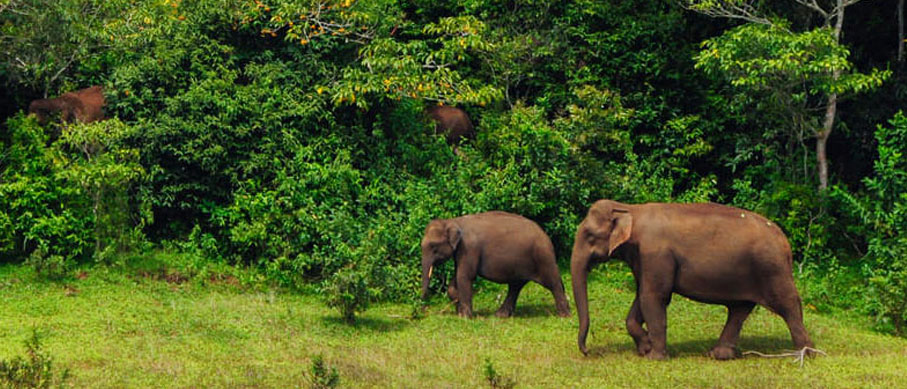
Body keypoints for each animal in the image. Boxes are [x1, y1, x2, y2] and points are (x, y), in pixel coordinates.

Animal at [422, 211, 572, 316]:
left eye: (434, 247)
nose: (424, 308)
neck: (453, 221)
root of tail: (546, 237)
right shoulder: (460, 252)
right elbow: (457, 276)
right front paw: (459, 306)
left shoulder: (469, 248)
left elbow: (465, 276)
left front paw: (465, 316)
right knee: (515, 286)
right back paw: (500, 315)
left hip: (543, 258)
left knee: (553, 283)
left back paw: (564, 315)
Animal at [572, 199, 812, 360]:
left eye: (590, 235)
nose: (587, 351)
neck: (631, 208)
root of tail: (785, 242)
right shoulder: (643, 258)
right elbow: (642, 296)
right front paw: (645, 347)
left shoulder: (656, 254)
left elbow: (655, 297)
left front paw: (654, 357)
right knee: (739, 309)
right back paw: (719, 354)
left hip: (773, 269)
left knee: (789, 305)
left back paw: (805, 353)